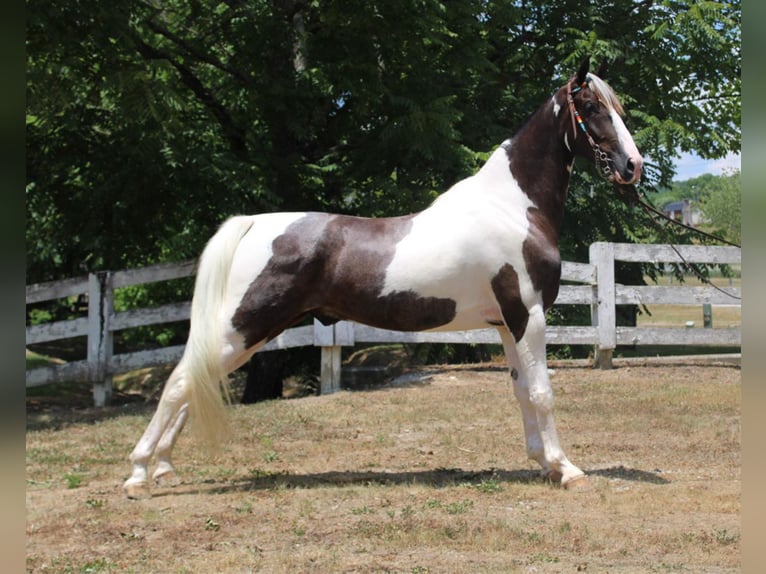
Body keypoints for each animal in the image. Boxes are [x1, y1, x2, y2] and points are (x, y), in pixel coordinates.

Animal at [123, 56, 644, 502]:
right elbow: (541, 392)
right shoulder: (527, 316)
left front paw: (543, 463)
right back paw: (137, 474)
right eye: (592, 108)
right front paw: (567, 469)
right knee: (179, 382)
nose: (633, 167)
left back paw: (163, 468)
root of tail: (252, 223)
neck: (512, 206)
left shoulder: (505, 324)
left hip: (244, 333)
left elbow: (521, 390)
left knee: (194, 381)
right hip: (244, 327)